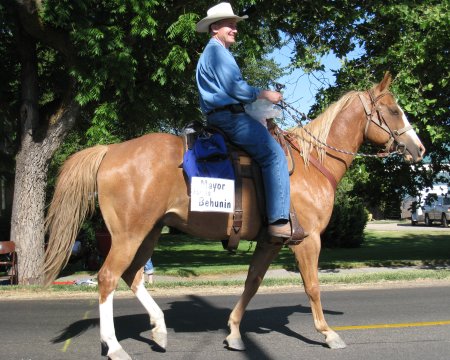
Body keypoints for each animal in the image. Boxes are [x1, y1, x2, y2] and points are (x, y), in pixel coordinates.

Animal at [44, 74, 424, 360]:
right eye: (393, 110)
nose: (418, 148)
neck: (311, 163)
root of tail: (111, 150)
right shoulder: (308, 240)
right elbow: (313, 286)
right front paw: (328, 333)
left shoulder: (272, 241)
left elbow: (252, 282)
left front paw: (235, 333)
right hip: (128, 234)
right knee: (108, 277)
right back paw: (116, 347)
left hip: (149, 231)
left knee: (132, 275)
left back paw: (160, 329)